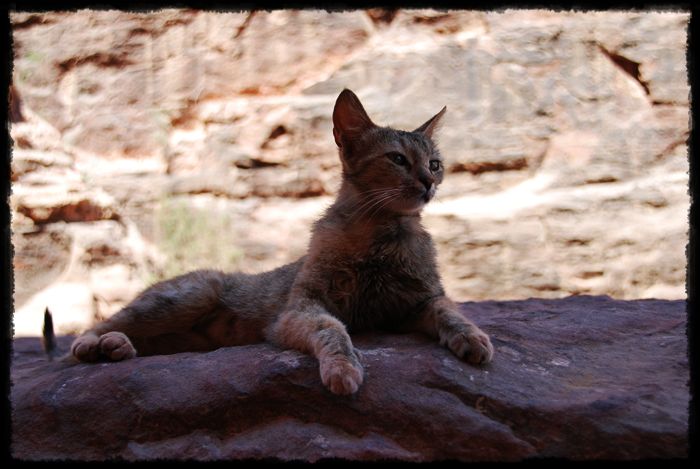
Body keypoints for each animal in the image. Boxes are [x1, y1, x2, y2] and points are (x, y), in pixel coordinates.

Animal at [55, 89, 494, 395]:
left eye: (435, 163)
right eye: (397, 159)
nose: (429, 182)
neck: (380, 237)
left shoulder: (418, 300)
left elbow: (450, 311)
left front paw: (472, 338)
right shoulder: (300, 307)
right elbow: (332, 330)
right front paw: (343, 368)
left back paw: (118, 348)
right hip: (186, 297)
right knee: (99, 324)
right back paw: (95, 344)